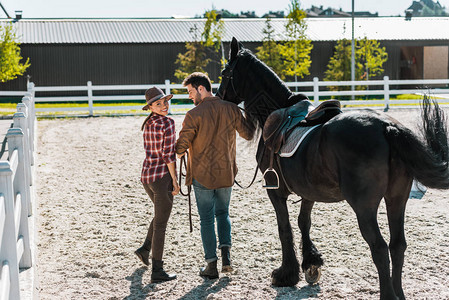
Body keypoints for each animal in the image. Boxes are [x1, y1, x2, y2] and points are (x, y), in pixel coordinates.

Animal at [215, 37, 446, 300]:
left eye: (224, 73)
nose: (217, 95)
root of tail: (387, 126)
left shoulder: (275, 191)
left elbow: (285, 227)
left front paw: (286, 273)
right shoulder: (308, 192)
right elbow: (303, 222)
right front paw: (311, 264)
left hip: (365, 207)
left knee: (379, 247)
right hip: (397, 199)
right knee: (398, 245)